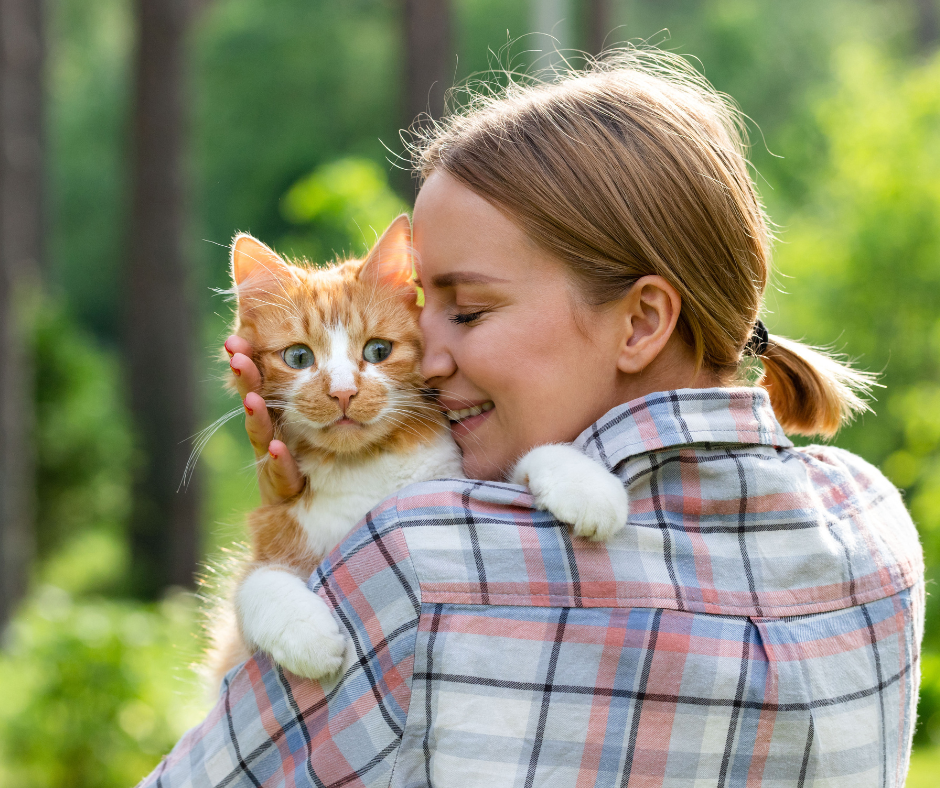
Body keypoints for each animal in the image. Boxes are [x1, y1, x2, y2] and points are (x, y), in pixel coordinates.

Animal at [209, 214, 628, 684]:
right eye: (298, 358)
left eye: (378, 350)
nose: (343, 392)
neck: (365, 467)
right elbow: (255, 585)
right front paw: (308, 636)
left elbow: (529, 459)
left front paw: (587, 488)